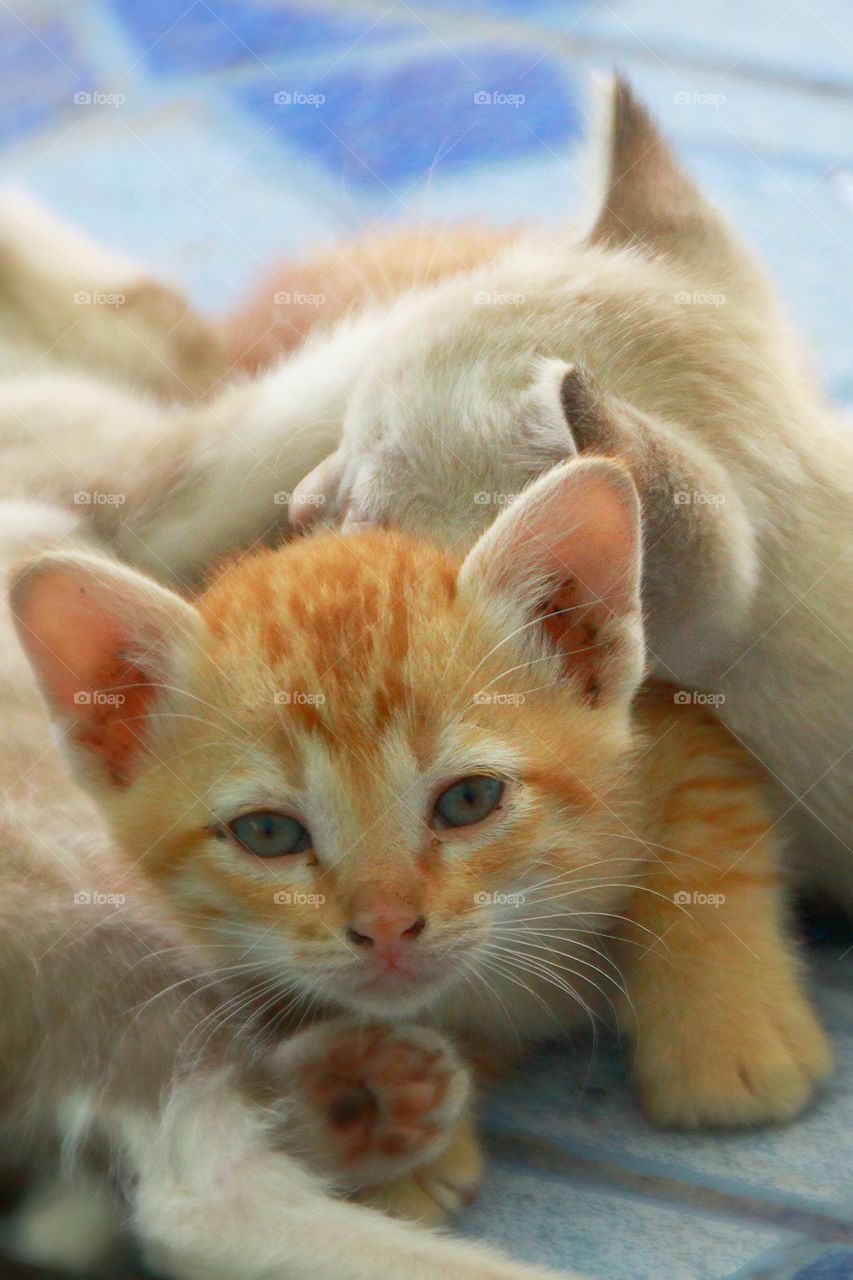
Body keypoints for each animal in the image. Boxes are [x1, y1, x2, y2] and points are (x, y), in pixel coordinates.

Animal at [9, 460, 824, 1269]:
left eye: (468, 799)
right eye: (268, 833)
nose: (387, 927)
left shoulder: (679, 716)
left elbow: (710, 831)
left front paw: (728, 1038)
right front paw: (404, 1162)